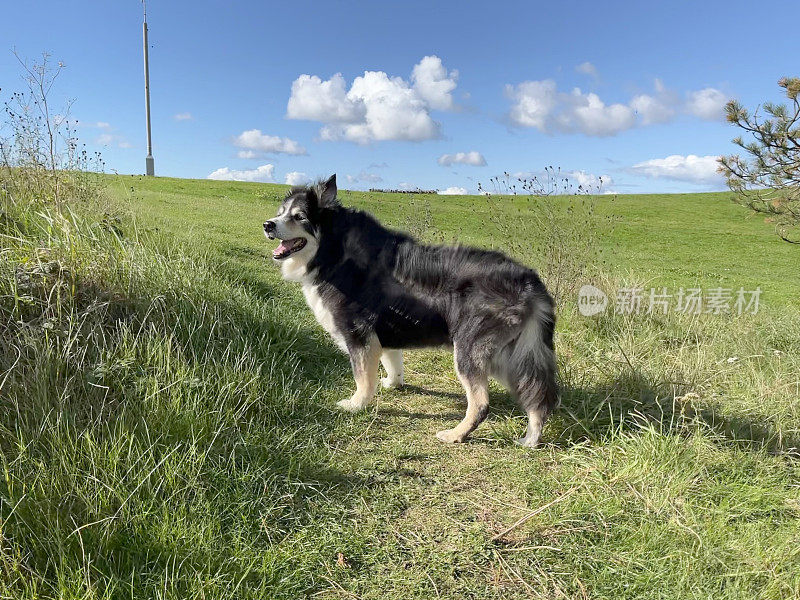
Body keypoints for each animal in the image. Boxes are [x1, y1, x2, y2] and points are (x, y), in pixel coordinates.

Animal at [262, 173, 556, 446]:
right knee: (536, 395)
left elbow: (362, 378)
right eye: (280, 213)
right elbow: (391, 361)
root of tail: (530, 281)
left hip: (470, 350)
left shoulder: (358, 334)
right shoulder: (381, 334)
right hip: (514, 355)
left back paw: (455, 434)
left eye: (299, 217)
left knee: (482, 402)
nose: (267, 225)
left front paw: (356, 404)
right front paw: (392, 384)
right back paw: (531, 439)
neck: (333, 250)